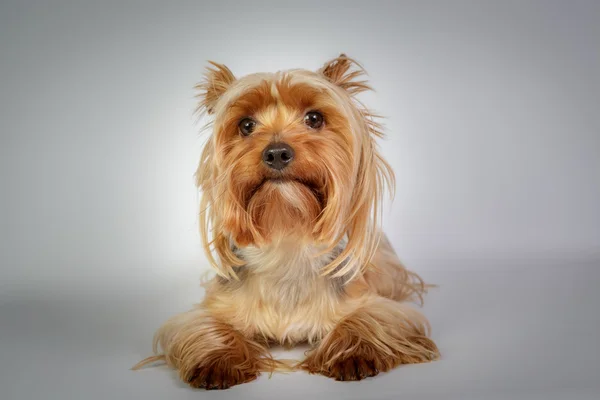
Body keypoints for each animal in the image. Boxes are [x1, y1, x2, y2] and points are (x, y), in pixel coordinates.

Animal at [134, 54, 438, 390]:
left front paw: (351, 354)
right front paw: (218, 360)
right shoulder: (207, 310)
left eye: (314, 118)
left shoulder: (383, 309)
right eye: (246, 125)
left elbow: (369, 319)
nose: (277, 153)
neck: (287, 233)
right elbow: (205, 325)